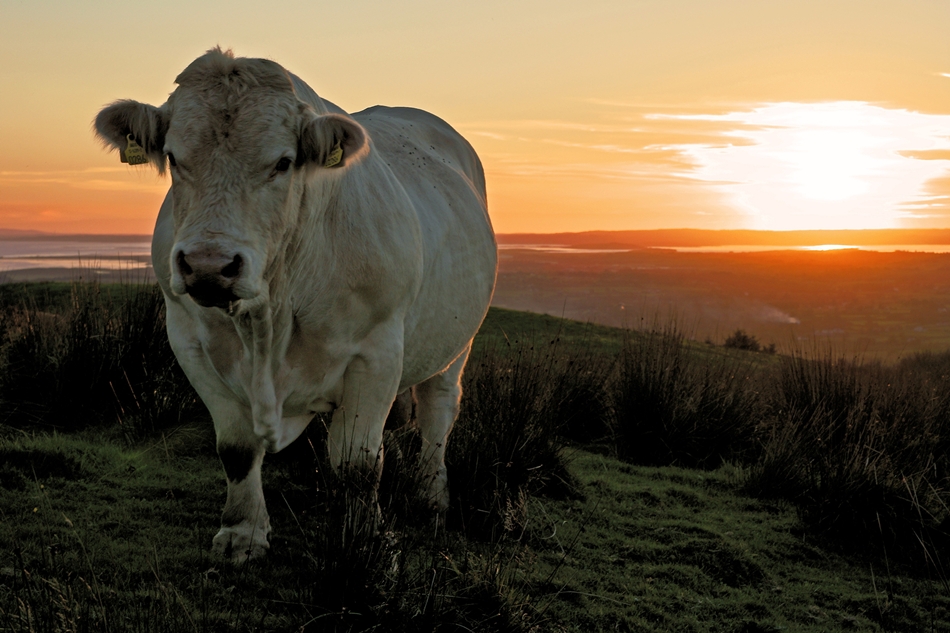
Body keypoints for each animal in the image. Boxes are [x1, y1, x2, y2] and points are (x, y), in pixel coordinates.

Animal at [93, 50, 498, 564]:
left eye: (283, 163)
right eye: (173, 156)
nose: (208, 265)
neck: (271, 317)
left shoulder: (378, 352)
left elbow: (357, 464)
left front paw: (364, 541)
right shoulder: (189, 342)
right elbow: (237, 449)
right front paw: (242, 533)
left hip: (457, 342)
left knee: (438, 411)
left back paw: (431, 499)